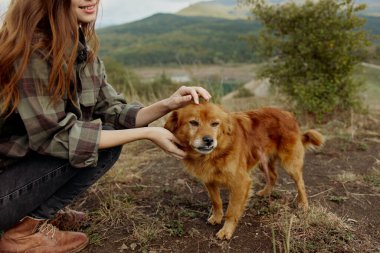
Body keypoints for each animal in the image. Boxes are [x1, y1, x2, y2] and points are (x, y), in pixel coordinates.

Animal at [164, 102, 324, 239]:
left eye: (215, 124)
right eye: (193, 123)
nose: (209, 140)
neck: (215, 153)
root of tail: (288, 114)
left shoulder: (240, 182)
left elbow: (232, 210)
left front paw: (226, 230)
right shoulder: (209, 181)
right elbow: (216, 201)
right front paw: (216, 217)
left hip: (290, 163)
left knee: (300, 183)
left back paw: (303, 204)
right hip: (261, 160)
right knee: (273, 176)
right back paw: (265, 193)